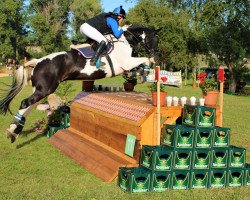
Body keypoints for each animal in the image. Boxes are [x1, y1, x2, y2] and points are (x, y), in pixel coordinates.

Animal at [0, 25, 159, 143]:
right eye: (154, 40)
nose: (155, 55)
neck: (124, 41)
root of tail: (38, 61)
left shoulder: (127, 65)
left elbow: (138, 67)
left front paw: (144, 73)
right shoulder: (126, 63)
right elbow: (143, 60)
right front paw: (148, 69)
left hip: (41, 90)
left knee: (29, 106)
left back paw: (14, 132)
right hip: (44, 90)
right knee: (25, 103)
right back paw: (11, 132)